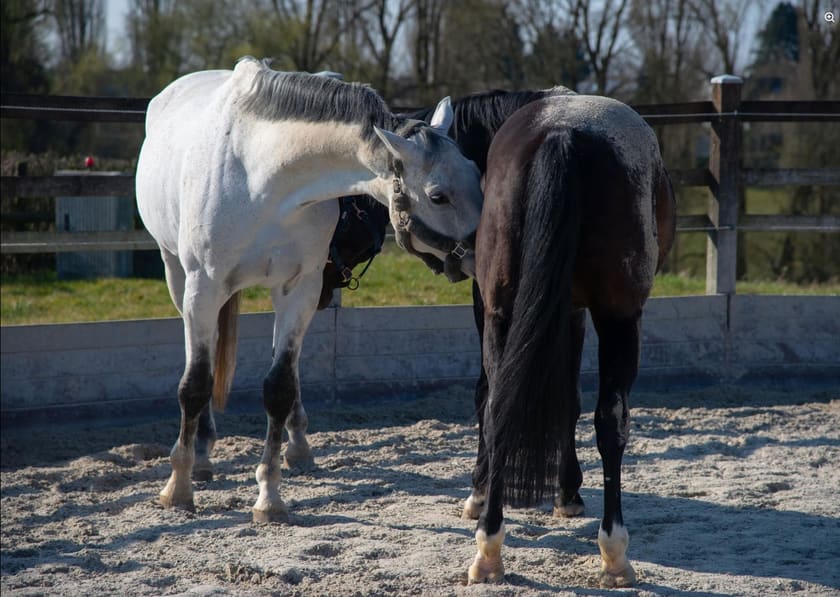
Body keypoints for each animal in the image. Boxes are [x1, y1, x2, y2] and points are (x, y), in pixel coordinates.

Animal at [135, 57, 483, 522]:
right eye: (439, 196)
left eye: (477, 174)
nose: (488, 248)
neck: (261, 177)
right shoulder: (202, 289)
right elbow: (194, 385)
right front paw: (178, 488)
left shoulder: (300, 288)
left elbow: (279, 387)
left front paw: (269, 497)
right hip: (178, 276)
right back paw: (203, 457)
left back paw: (296, 449)